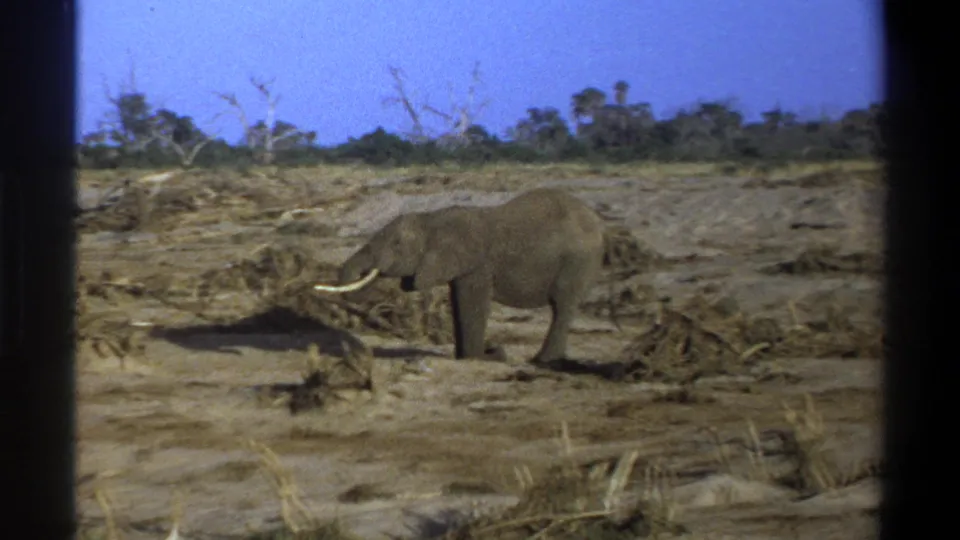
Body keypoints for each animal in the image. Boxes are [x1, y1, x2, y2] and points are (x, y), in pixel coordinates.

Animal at [314, 188, 605, 364]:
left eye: (396, 244)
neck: (432, 219)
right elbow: (458, 303)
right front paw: (467, 357)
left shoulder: (477, 264)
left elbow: (472, 304)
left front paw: (479, 359)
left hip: (578, 261)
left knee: (562, 305)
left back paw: (542, 361)